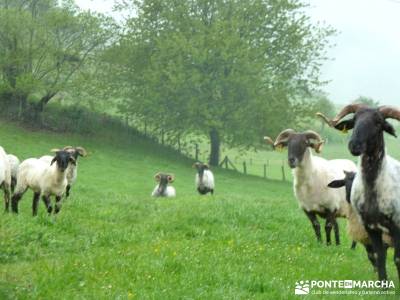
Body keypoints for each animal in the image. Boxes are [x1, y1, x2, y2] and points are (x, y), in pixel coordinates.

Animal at [318, 103, 400, 282]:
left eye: (379, 122)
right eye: (355, 120)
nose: (354, 145)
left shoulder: (396, 226)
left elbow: (397, 259)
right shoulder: (370, 228)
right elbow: (379, 258)